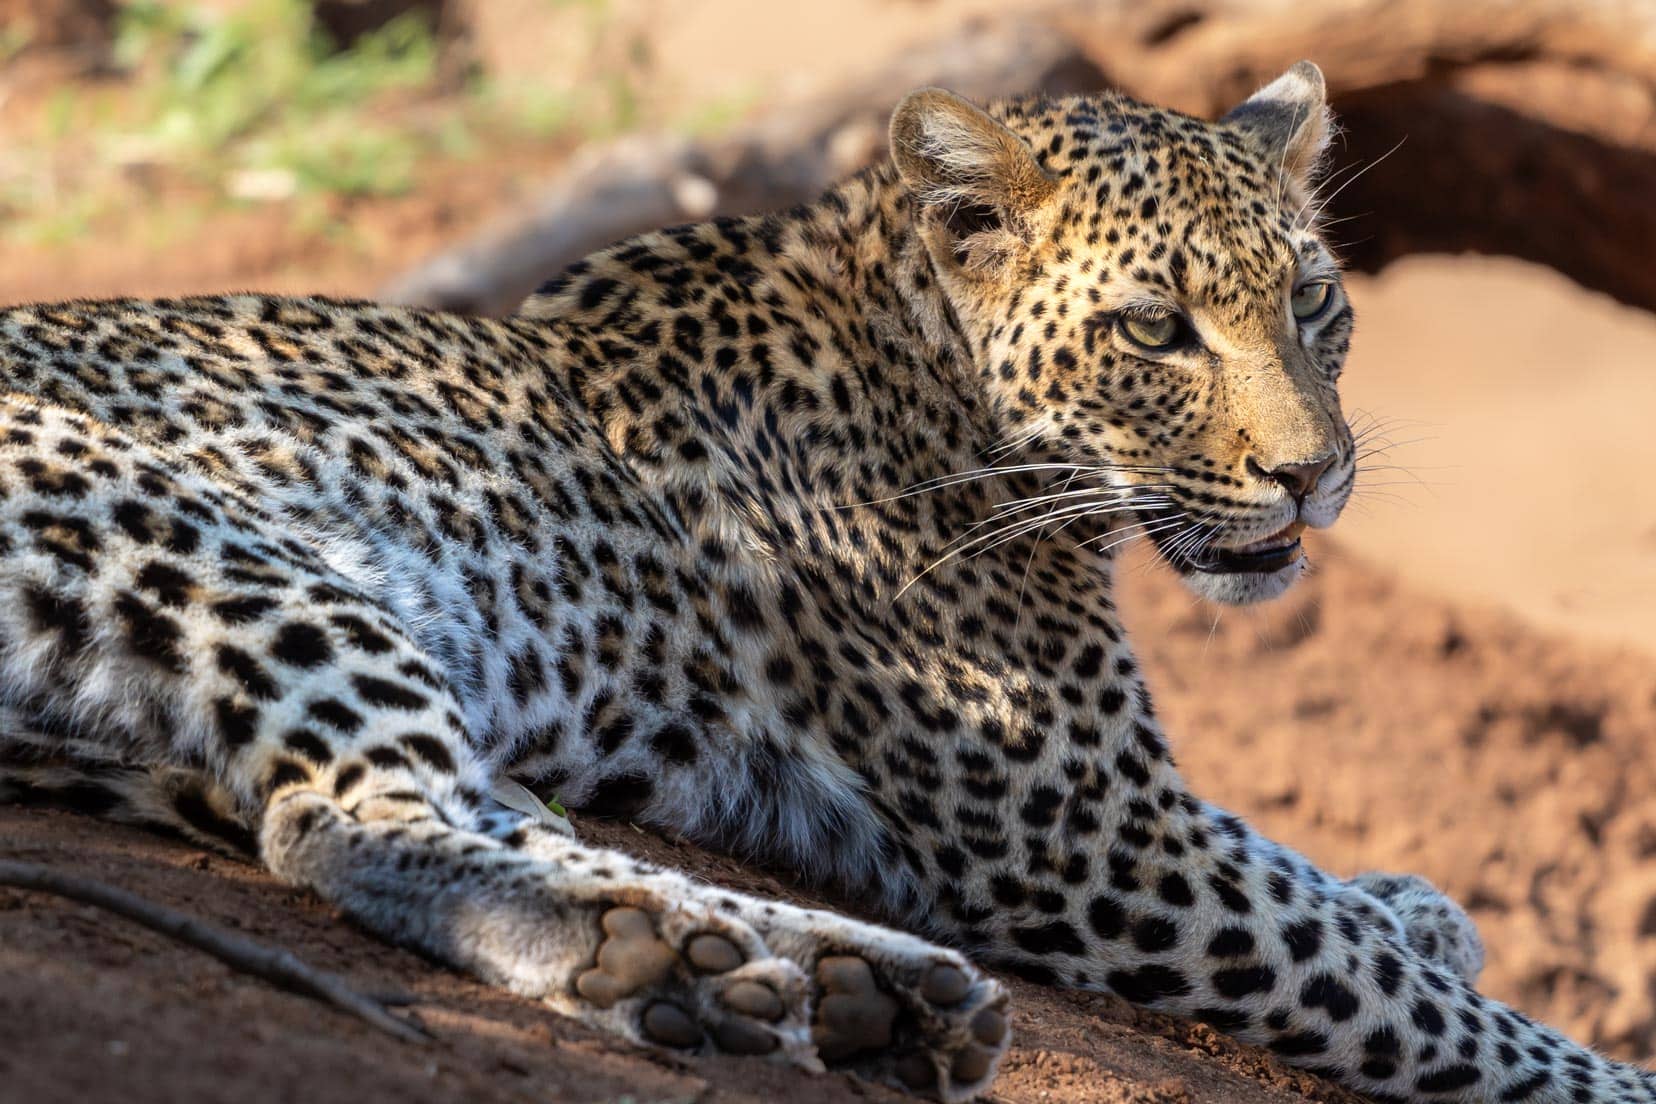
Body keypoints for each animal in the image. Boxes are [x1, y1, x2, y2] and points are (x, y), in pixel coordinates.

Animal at [0, 64, 1642, 1104]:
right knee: (342, 820)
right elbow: (1404, 999)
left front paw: (1414, 901)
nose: (1316, 477)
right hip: (233, 557)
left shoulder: (1120, 800)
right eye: (1156, 328)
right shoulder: (1089, 838)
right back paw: (706, 967)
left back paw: (817, 989)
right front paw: (1600, 1070)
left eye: (1314, 301)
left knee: (462, 807)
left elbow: (1313, 878)